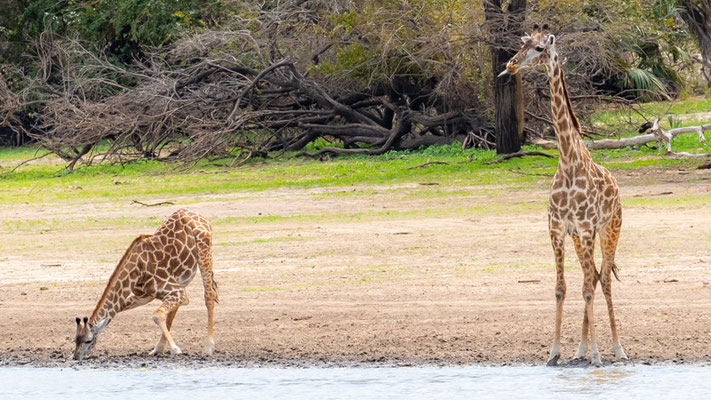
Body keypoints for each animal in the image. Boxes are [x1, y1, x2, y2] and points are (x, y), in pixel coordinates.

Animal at [72, 209, 218, 360]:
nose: (75, 357)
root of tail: (197, 214)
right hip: (182, 277)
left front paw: (175, 349)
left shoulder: (177, 292)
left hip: (204, 251)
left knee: (209, 295)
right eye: (75, 339)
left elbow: (157, 315)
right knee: (175, 310)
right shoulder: (142, 296)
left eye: (88, 340)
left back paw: (209, 347)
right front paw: (161, 349)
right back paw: (158, 349)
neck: (136, 273)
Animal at [500, 21, 628, 366]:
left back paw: (616, 348)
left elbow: (587, 289)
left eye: (539, 48)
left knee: (602, 280)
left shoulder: (585, 228)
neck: (569, 161)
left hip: (610, 230)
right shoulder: (558, 229)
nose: (510, 65)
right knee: (592, 277)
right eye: (522, 44)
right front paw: (555, 352)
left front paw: (597, 354)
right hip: (580, 238)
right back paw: (580, 349)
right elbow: (561, 288)